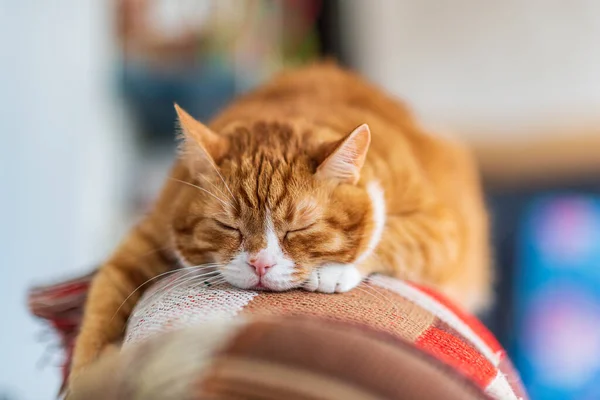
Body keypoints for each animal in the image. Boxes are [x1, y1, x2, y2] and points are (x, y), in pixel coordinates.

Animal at [70, 62, 492, 382]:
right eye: (230, 227)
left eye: (298, 229)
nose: (260, 264)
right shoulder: (146, 237)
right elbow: (101, 307)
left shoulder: (440, 230)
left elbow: (388, 234)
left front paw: (333, 271)